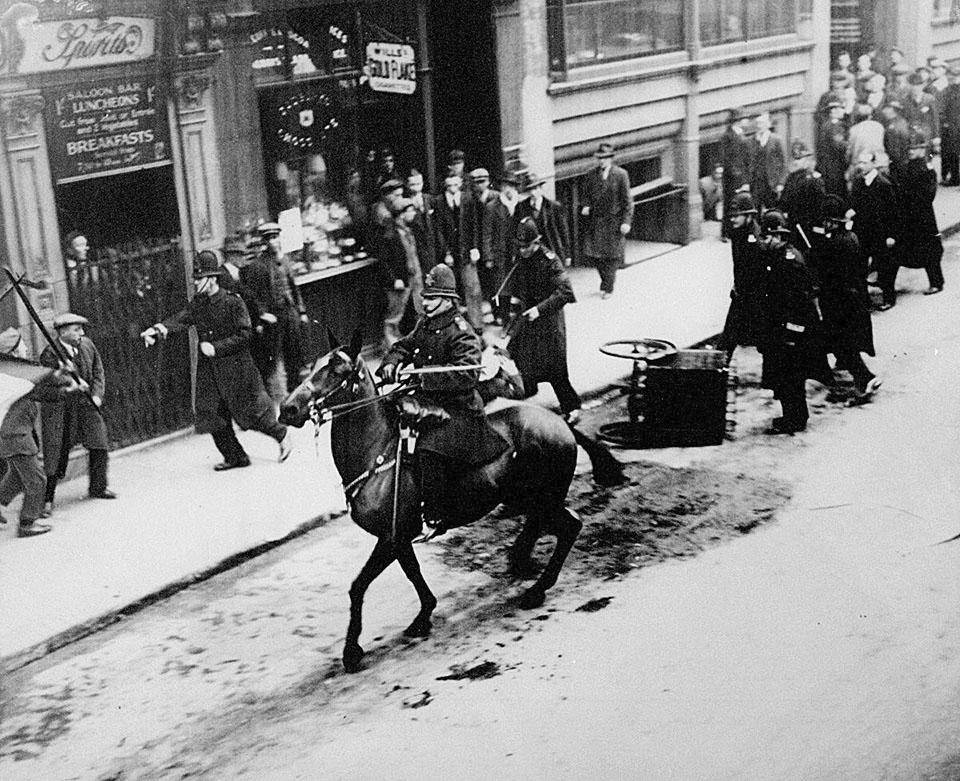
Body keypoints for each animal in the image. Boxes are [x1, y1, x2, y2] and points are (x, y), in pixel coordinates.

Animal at [282, 330, 620, 672]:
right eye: (313, 366)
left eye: (335, 370)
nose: (287, 409)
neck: (377, 452)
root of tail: (560, 422)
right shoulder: (398, 539)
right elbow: (410, 573)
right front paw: (423, 616)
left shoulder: (392, 538)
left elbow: (361, 586)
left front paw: (352, 650)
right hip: (529, 498)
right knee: (542, 525)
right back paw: (520, 560)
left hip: (542, 498)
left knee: (569, 527)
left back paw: (536, 589)